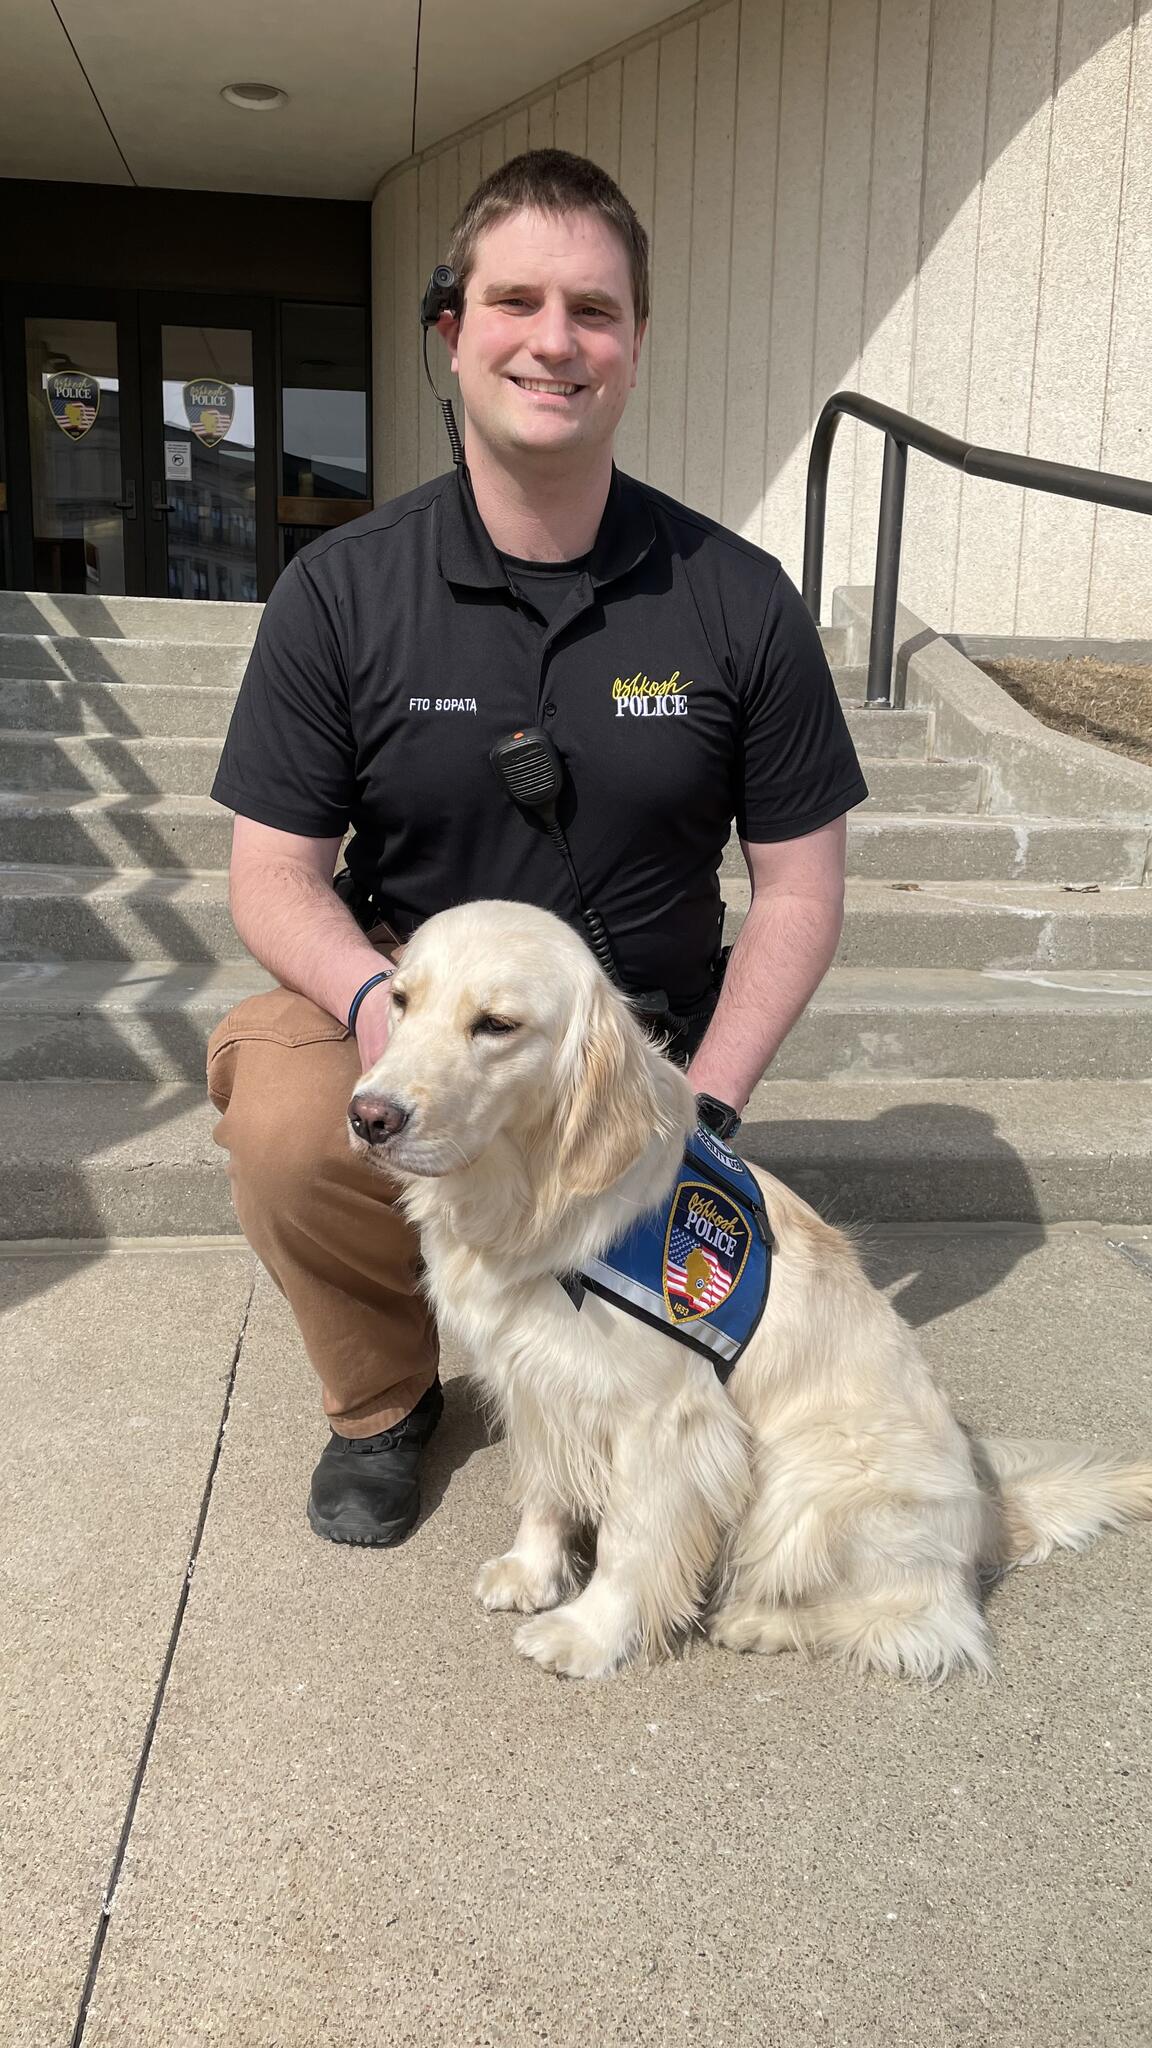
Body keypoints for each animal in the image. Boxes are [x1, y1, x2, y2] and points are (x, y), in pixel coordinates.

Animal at [348, 897, 1147, 1679]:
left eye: (497, 1025)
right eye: (400, 999)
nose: (369, 1115)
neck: (532, 1199)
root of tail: (989, 1510)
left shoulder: (663, 1421)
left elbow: (631, 1542)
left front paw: (590, 1633)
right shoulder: (536, 1379)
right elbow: (546, 1489)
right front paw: (532, 1571)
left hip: (811, 1478)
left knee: (925, 1624)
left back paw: (762, 1622)